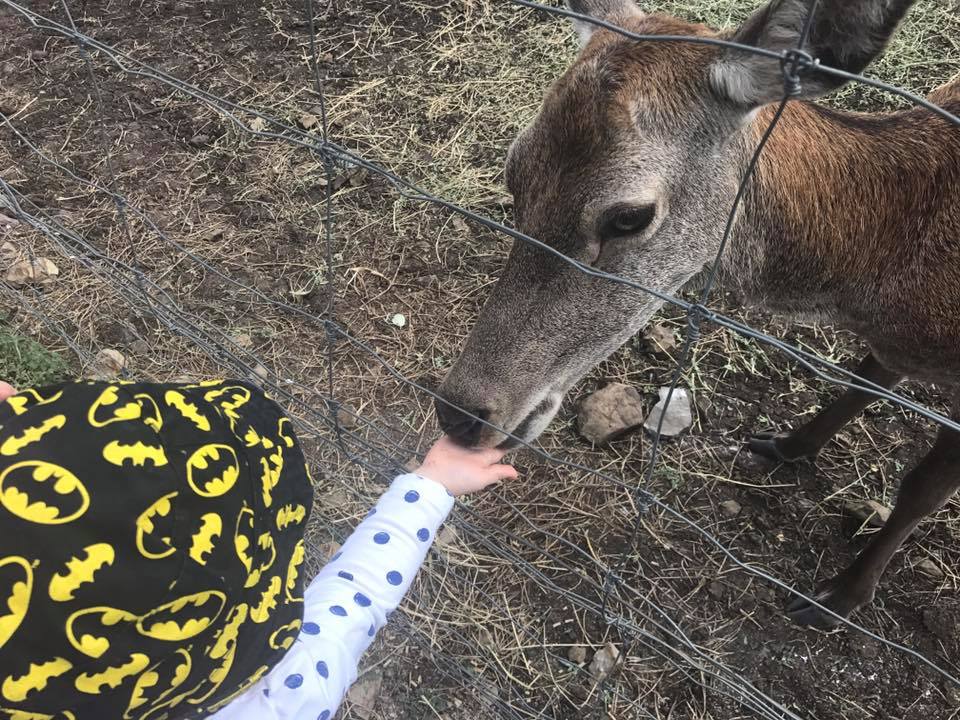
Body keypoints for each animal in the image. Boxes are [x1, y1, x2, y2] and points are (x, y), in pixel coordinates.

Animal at [436, 0, 960, 632]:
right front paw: (786, 446)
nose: (459, 414)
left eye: (629, 216)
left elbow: (921, 489)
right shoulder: (894, 347)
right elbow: (865, 380)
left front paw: (838, 597)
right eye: (513, 173)